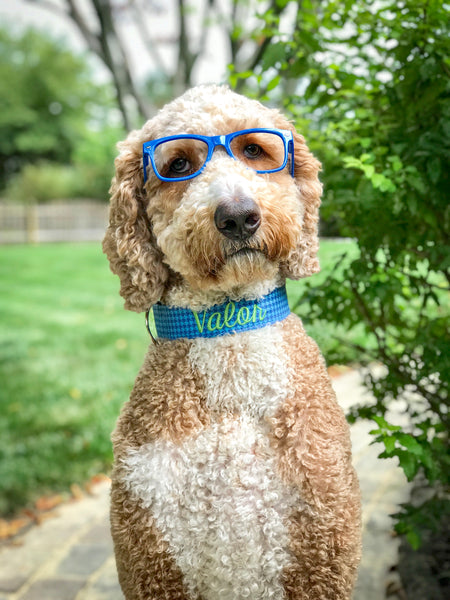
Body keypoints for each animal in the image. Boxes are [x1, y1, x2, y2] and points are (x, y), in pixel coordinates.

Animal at [103, 85, 362, 600]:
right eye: (178, 164)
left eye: (254, 150)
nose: (239, 215)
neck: (228, 337)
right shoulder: (151, 557)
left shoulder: (321, 550)